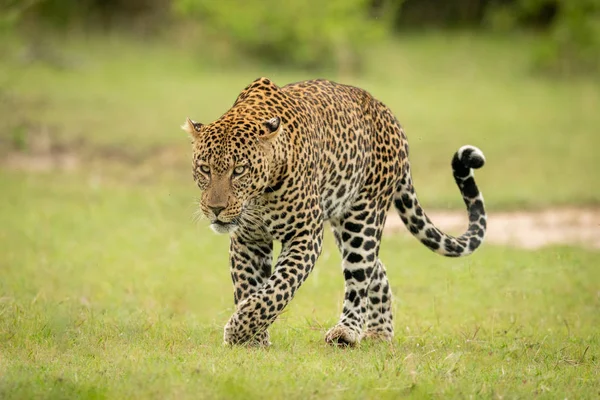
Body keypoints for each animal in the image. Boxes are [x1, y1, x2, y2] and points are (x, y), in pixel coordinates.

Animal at [183, 76, 488, 346]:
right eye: (204, 169)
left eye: (239, 170)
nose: (216, 209)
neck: (259, 196)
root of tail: (389, 116)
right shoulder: (248, 240)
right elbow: (249, 287)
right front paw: (252, 338)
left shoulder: (305, 235)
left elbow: (277, 288)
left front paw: (239, 330)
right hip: (344, 222)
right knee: (376, 270)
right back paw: (379, 333)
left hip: (362, 218)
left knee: (360, 275)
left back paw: (347, 332)